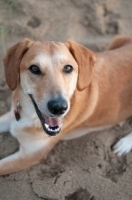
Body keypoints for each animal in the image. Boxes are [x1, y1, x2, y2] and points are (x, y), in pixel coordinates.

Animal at [0, 34, 132, 175]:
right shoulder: (11, 117)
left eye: (68, 68)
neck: (29, 116)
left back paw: (124, 143)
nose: (59, 108)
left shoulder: (29, 156)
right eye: (34, 68)